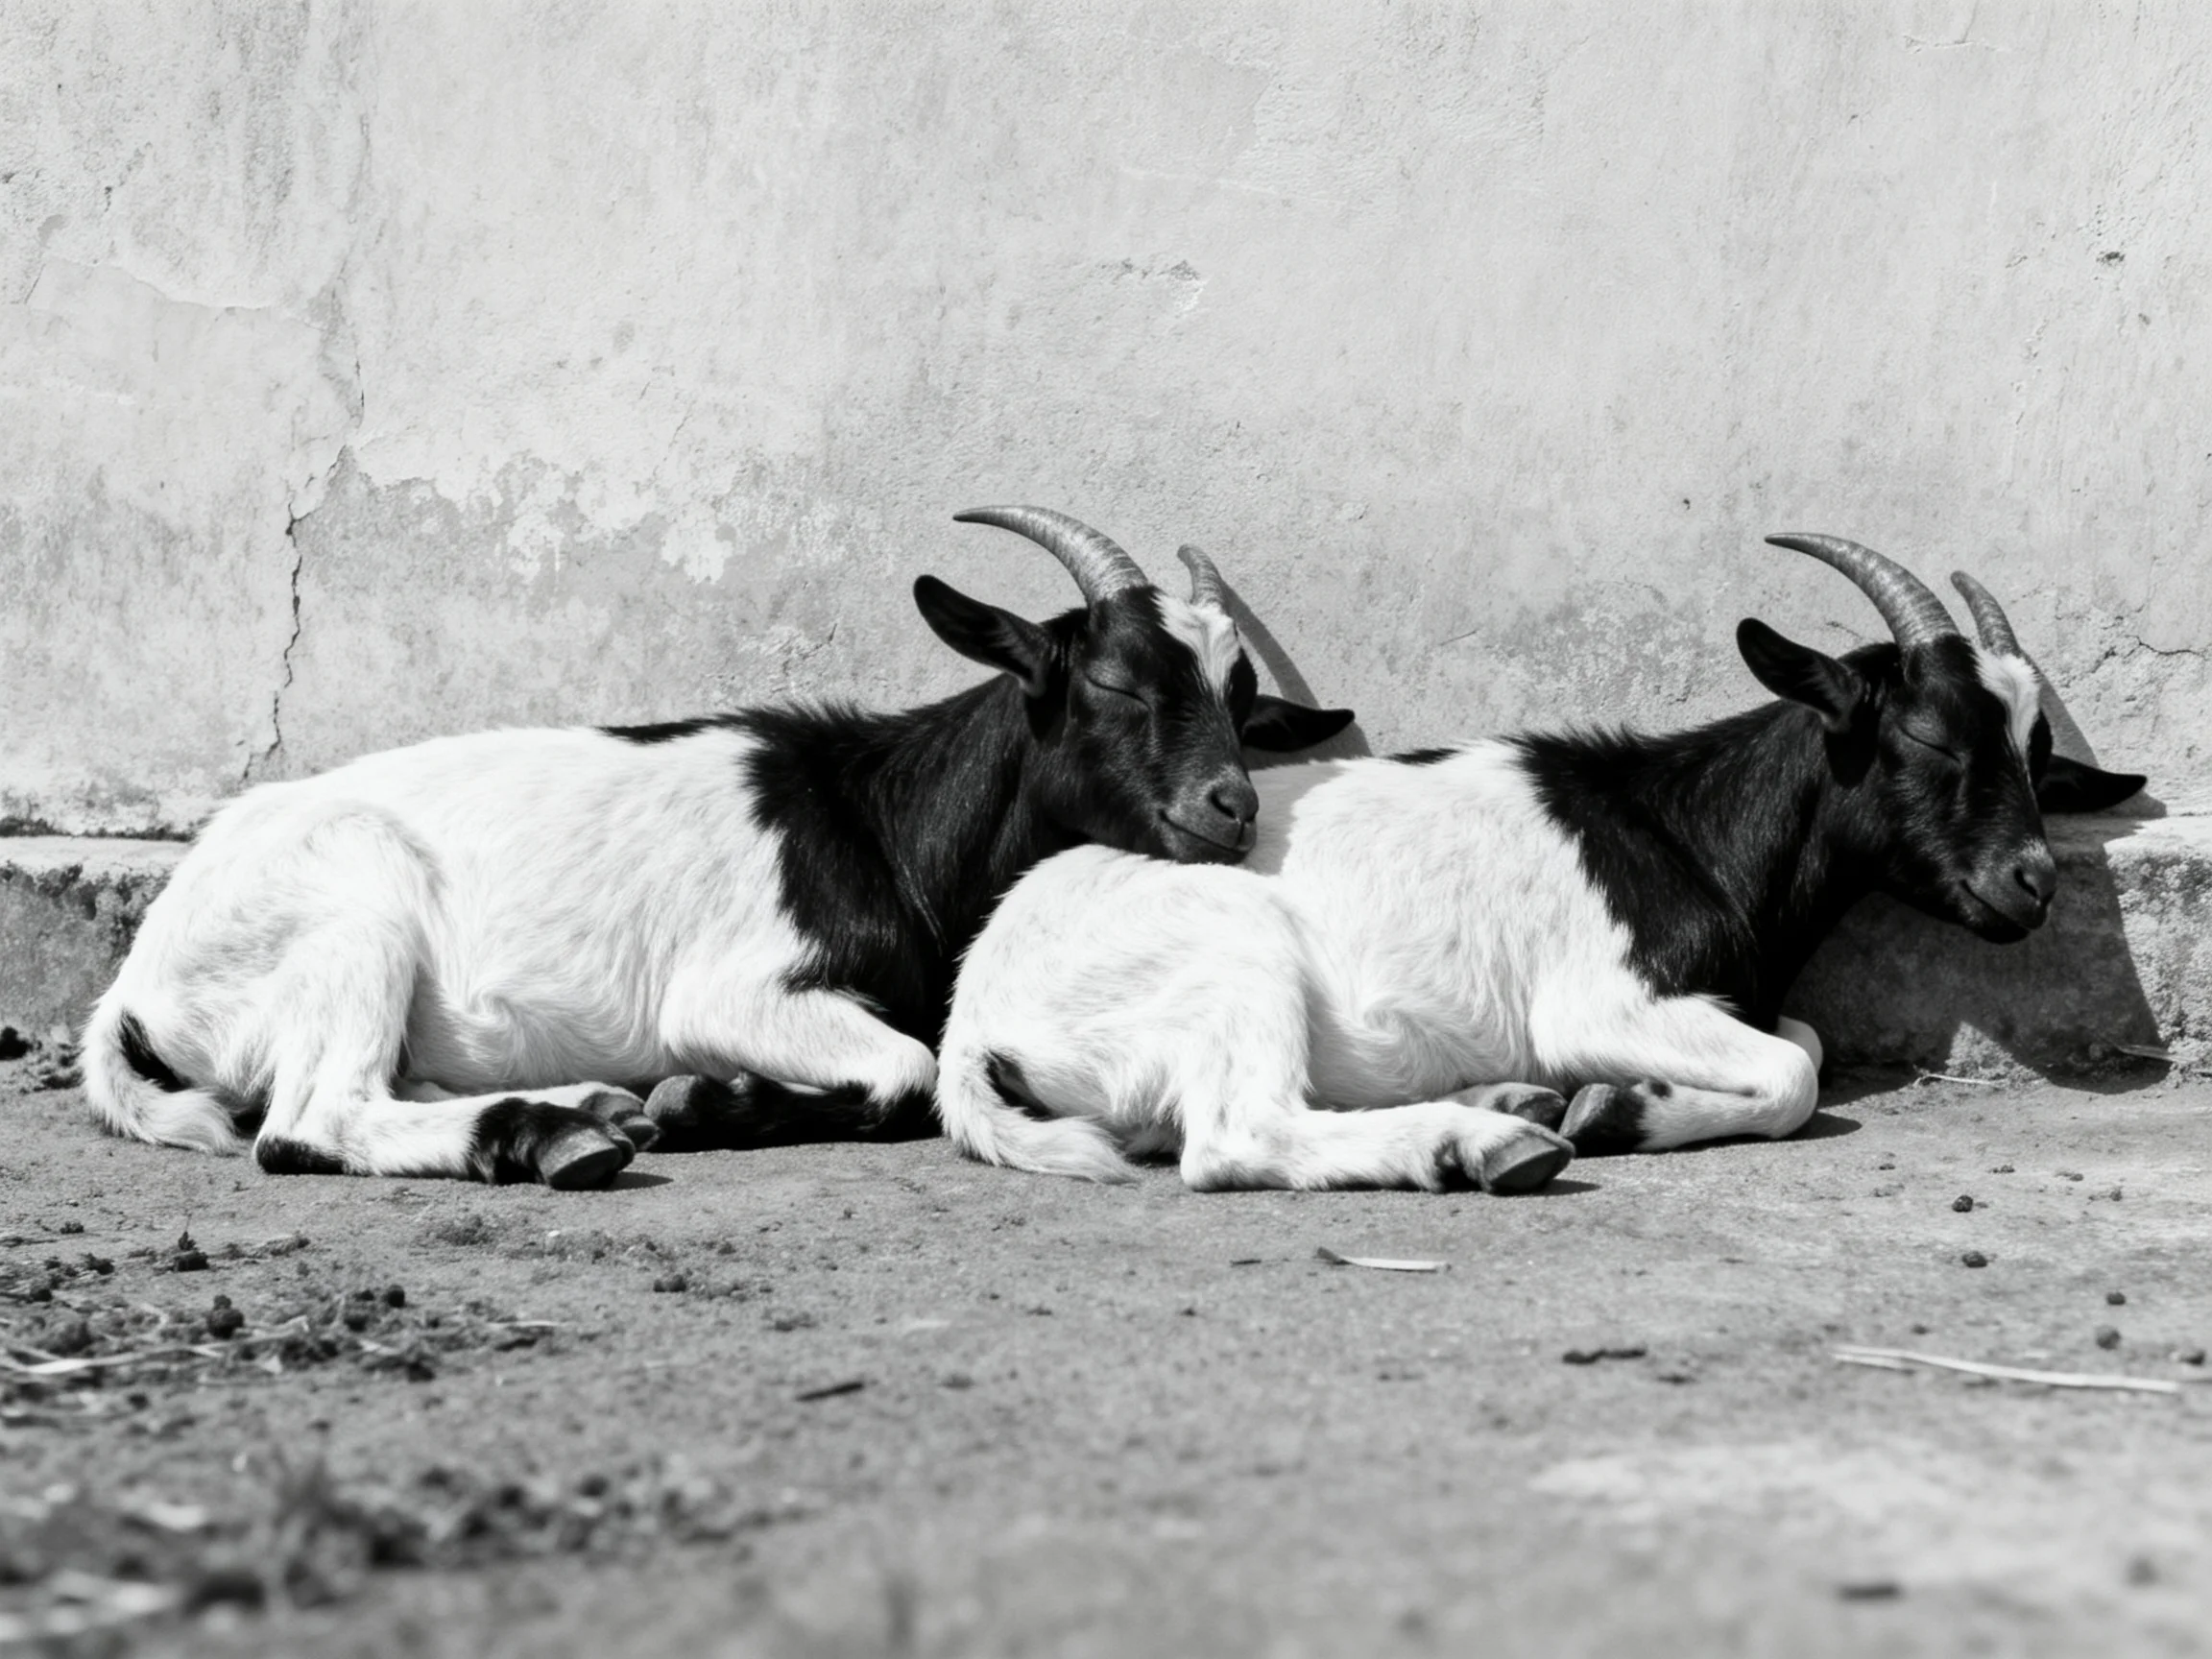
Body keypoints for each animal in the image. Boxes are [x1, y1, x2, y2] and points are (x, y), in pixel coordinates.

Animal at [82, 507, 1353, 1188]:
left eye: (1244, 702)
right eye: (1114, 680)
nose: (1232, 806)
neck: (879, 820)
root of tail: (135, 985)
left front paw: (682, 1104)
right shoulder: (734, 989)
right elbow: (901, 1068)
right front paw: (703, 1103)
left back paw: (589, 1105)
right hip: (352, 901)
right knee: (309, 1121)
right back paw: (558, 1136)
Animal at [937, 535, 2145, 1193]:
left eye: (2039, 754)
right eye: (1932, 737)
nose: (2034, 881)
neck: (1687, 828)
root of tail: (973, 1018)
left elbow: (1799, 1039)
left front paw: (1606, 1101)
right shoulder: (1599, 999)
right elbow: (1796, 1073)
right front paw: (1615, 1110)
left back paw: (1509, 1099)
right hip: (1234, 953)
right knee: (1237, 1137)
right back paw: (1486, 1142)